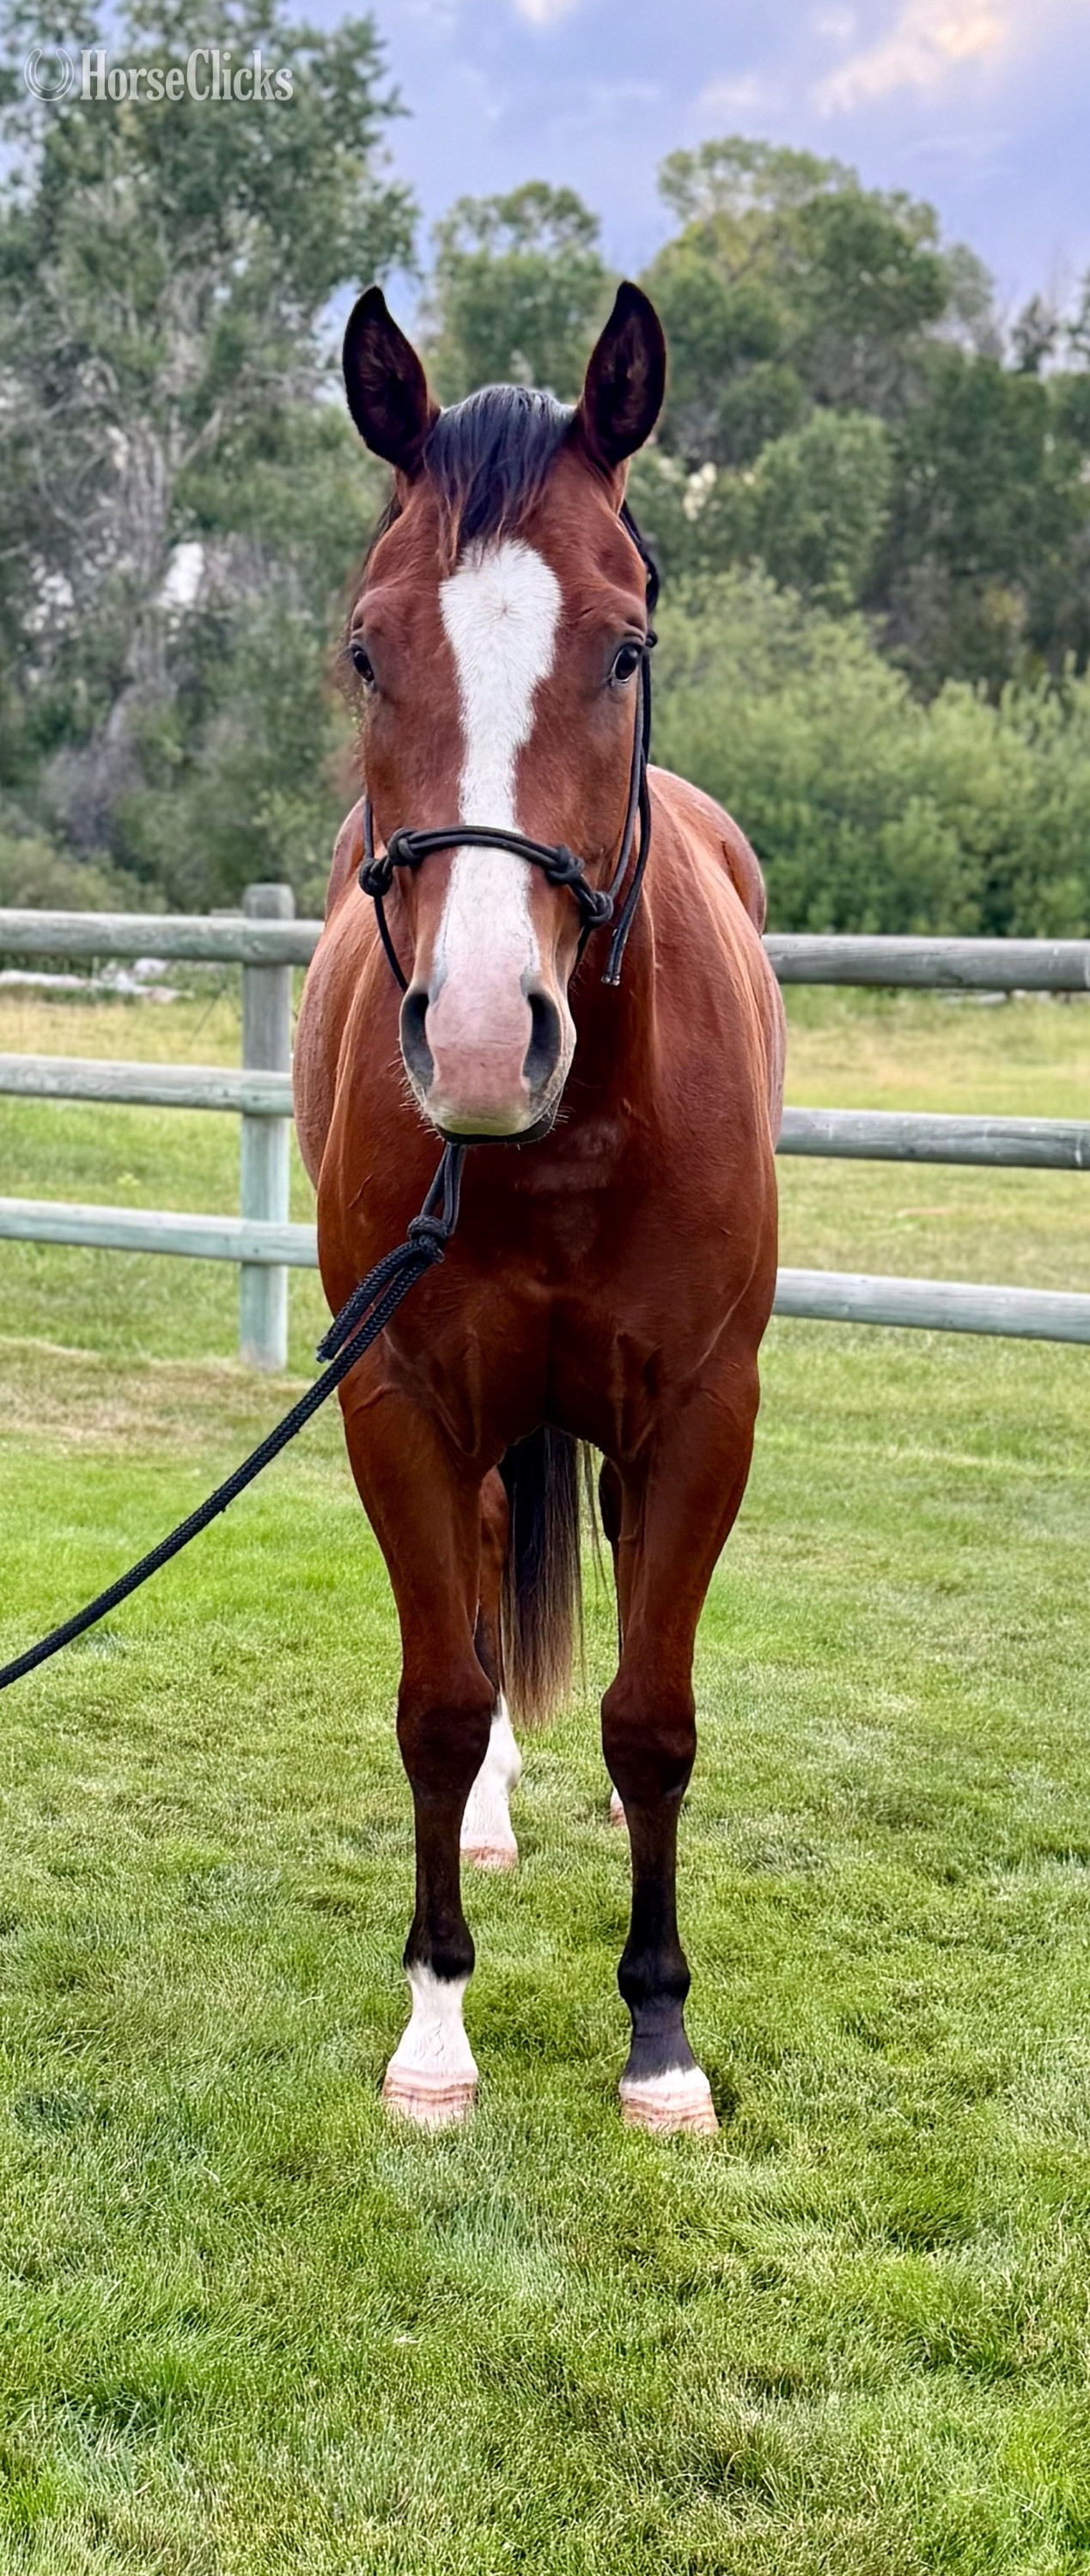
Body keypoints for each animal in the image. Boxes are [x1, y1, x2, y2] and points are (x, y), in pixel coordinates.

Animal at [293, 281, 785, 2137]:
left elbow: (653, 1723)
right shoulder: (399, 1402)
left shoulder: (700, 1418)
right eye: (369, 648)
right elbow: (439, 1704)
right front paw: (436, 2028)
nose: (486, 1038)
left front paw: (659, 2037)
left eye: (624, 648)